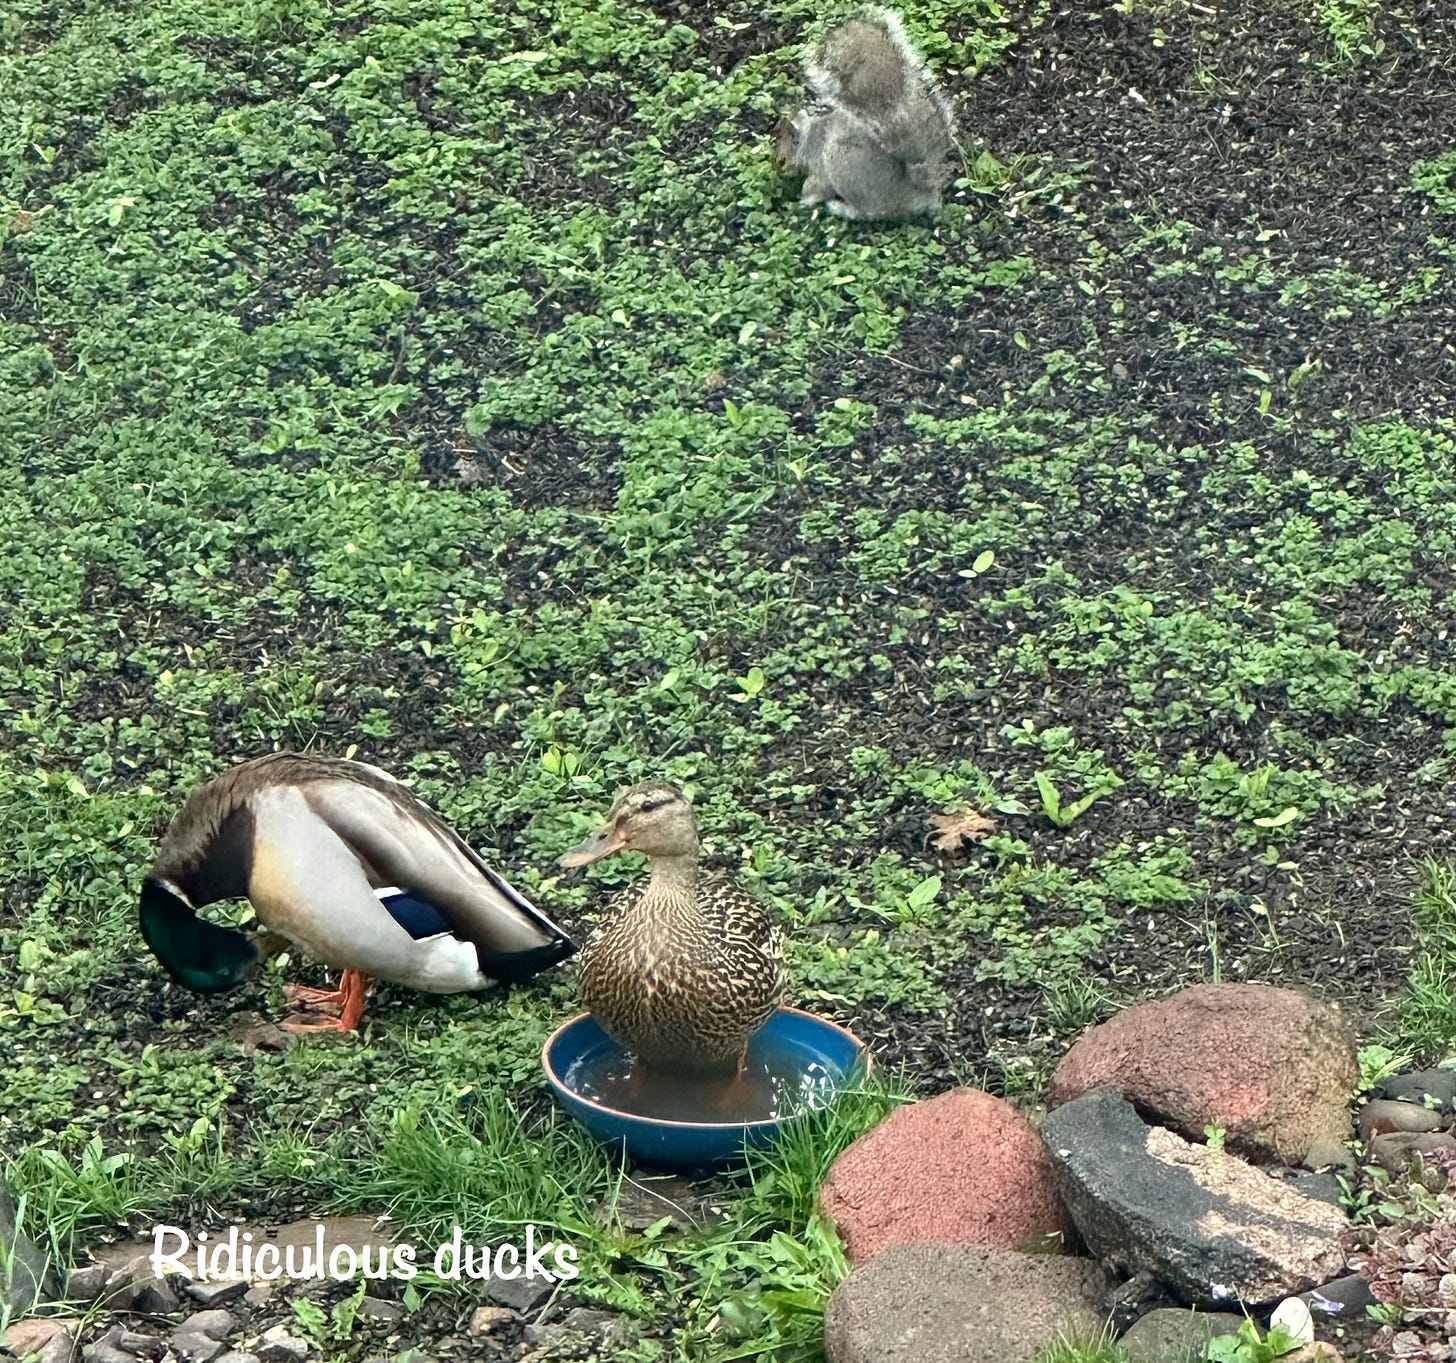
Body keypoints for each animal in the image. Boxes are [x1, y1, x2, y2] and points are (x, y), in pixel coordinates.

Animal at [774, 5, 959, 222]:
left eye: (782, 160)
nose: (778, 173)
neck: (808, 138)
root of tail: (922, 193)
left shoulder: (819, 170)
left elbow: (813, 189)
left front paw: (798, 202)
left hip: (843, 165)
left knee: (873, 212)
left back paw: (841, 208)